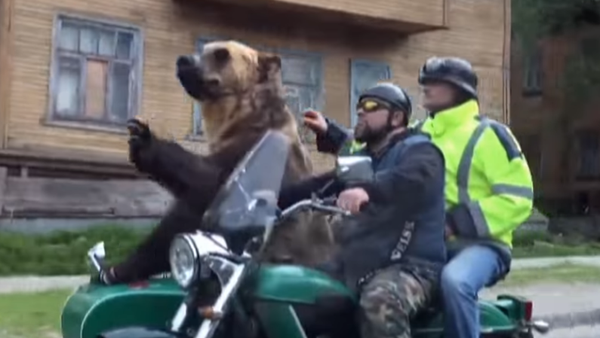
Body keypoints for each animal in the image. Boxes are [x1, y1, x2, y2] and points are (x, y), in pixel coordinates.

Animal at [103, 39, 338, 284]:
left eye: (222, 54)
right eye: (205, 48)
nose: (184, 61)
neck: (236, 118)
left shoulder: (252, 150)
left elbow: (207, 182)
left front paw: (143, 139)